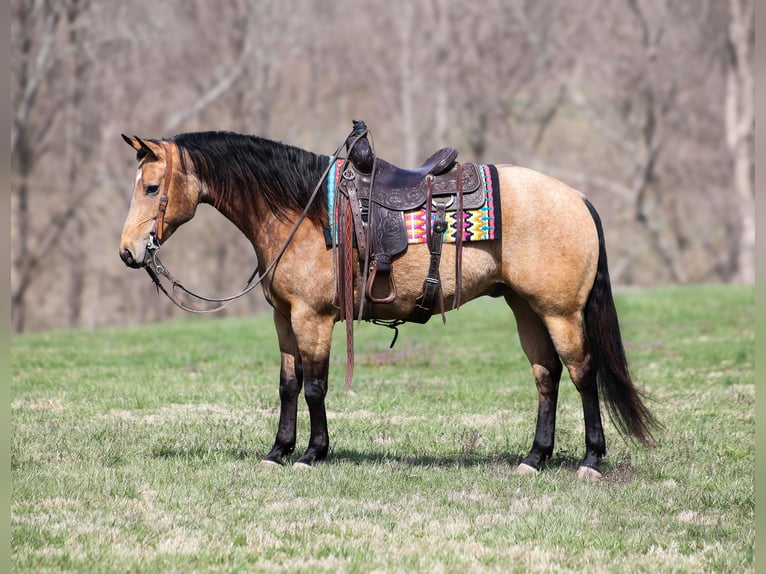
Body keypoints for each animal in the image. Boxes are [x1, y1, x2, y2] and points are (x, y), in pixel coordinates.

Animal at [118, 128, 660, 479]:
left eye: (152, 187)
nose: (128, 252)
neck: (303, 212)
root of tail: (578, 199)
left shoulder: (313, 317)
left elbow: (314, 386)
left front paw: (312, 454)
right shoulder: (283, 318)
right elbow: (288, 385)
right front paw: (277, 451)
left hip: (560, 312)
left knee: (582, 372)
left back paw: (591, 460)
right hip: (527, 309)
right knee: (547, 376)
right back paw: (534, 458)